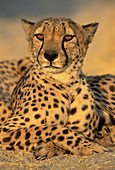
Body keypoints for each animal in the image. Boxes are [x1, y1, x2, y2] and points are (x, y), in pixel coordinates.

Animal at [0, 17, 114, 159]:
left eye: (68, 37)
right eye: (40, 36)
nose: (50, 55)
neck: (65, 82)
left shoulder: (86, 130)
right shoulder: (5, 130)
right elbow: (52, 128)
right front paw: (89, 146)